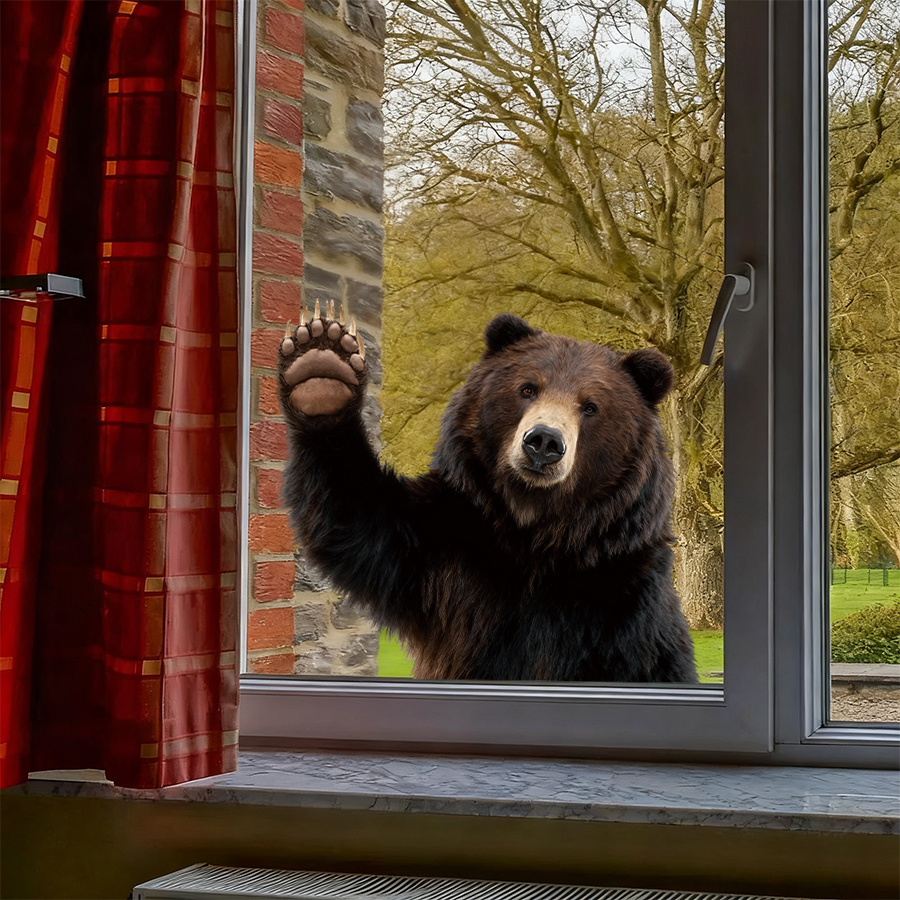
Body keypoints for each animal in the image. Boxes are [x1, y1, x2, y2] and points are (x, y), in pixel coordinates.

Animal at [277, 307, 698, 683]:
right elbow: (358, 520)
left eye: (590, 406)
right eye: (528, 388)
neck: (533, 533)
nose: (544, 442)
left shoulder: (619, 595)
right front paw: (322, 364)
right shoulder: (445, 547)